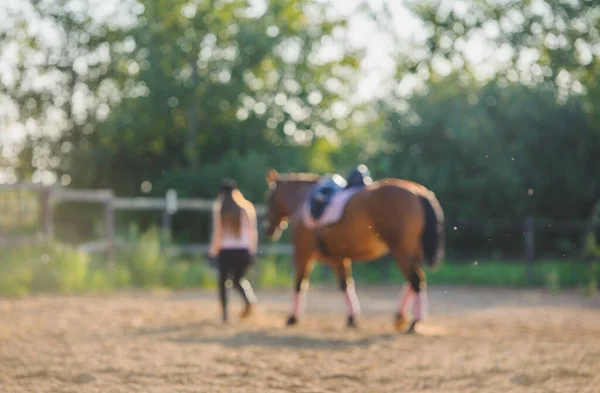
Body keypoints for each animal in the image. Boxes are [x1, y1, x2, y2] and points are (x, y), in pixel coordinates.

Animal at [264, 167, 446, 332]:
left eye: (269, 197)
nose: (268, 229)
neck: (303, 201)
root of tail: (418, 192)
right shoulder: (338, 259)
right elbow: (346, 285)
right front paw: (352, 318)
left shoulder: (303, 254)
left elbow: (299, 284)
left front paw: (292, 318)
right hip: (411, 250)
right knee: (414, 280)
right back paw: (400, 317)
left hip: (400, 249)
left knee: (416, 280)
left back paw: (415, 321)